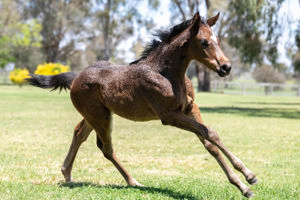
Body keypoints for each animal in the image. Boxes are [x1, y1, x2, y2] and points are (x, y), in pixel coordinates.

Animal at [27, 12, 258, 198]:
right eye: (203, 42)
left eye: (217, 39)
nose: (226, 67)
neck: (166, 73)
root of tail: (76, 77)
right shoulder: (169, 115)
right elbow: (208, 132)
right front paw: (248, 176)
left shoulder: (190, 108)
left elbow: (211, 140)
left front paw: (244, 184)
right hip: (100, 117)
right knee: (106, 148)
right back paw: (134, 182)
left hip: (96, 115)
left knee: (79, 133)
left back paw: (67, 174)